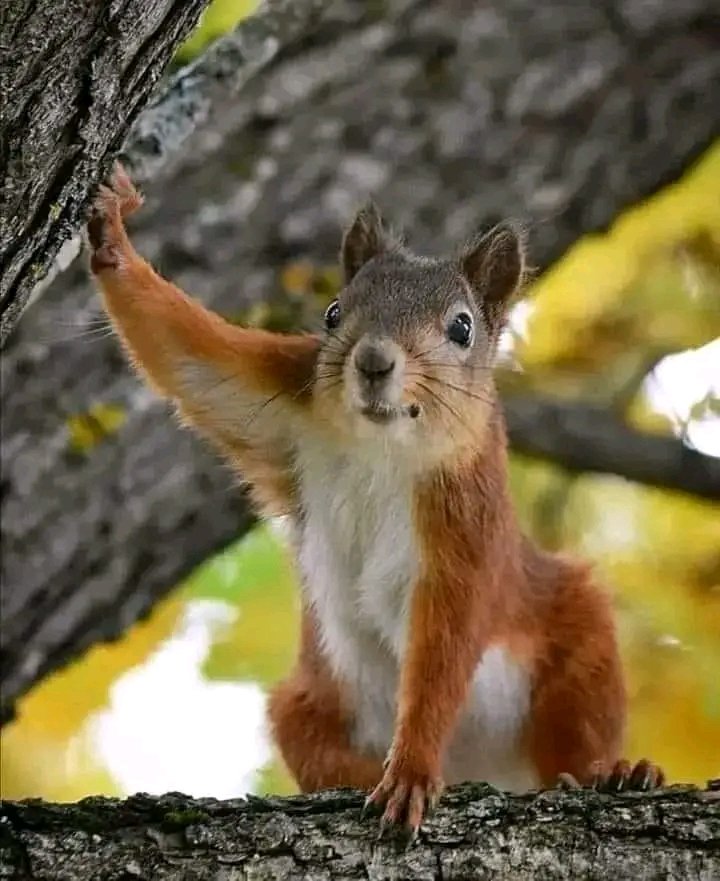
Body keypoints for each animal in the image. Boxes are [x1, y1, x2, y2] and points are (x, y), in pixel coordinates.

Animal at [86, 163, 664, 840]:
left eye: (462, 327)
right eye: (334, 312)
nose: (372, 361)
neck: (379, 445)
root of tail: (485, 769)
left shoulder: (467, 515)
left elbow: (448, 640)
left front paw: (412, 767)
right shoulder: (286, 394)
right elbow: (189, 357)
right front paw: (113, 237)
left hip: (575, 634)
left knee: (576, 729)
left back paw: (614, 772)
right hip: (306, 704)